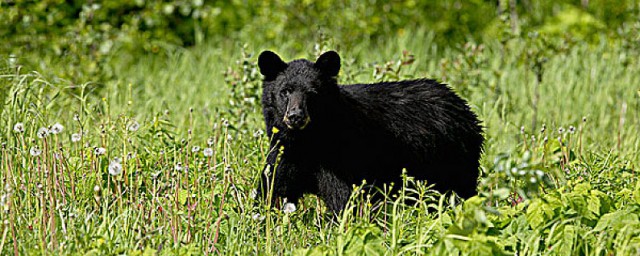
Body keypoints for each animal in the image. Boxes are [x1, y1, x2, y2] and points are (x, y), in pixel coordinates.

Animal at [258, 50, 482, 212]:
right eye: (285, 91)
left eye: (313, 93)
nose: (296, 116)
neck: (307, 141)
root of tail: (463, 106)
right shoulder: (285, 153)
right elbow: (271, 189)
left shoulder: (339, 160)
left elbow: (343, 201)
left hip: (453, 162)